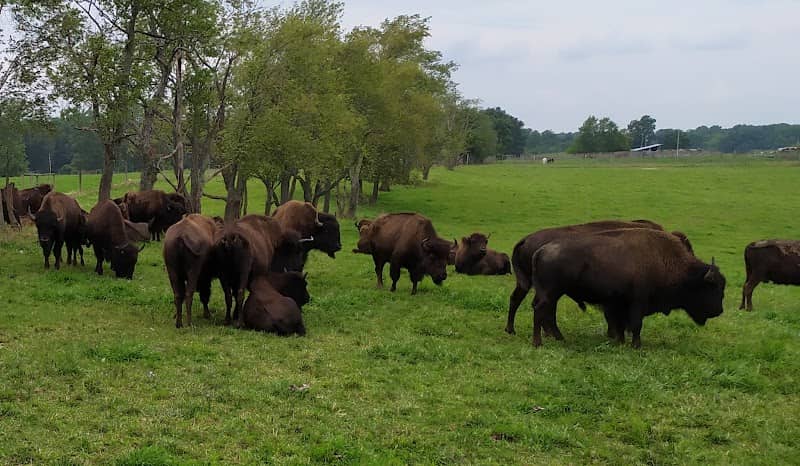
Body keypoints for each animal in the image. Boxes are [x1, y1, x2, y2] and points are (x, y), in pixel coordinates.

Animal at [530, 228, 725, 348]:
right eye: (712, 288)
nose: (719, 311)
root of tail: (541, 250)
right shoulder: (637, 302)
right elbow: (636, 324)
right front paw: (636, 346)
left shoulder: (619, 304)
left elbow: (620, 325)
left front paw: (621, 341)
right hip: (551, 293)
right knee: (541, 311)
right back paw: (538, 343)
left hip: (552, 294)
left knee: (548, 313)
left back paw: (560, 338)